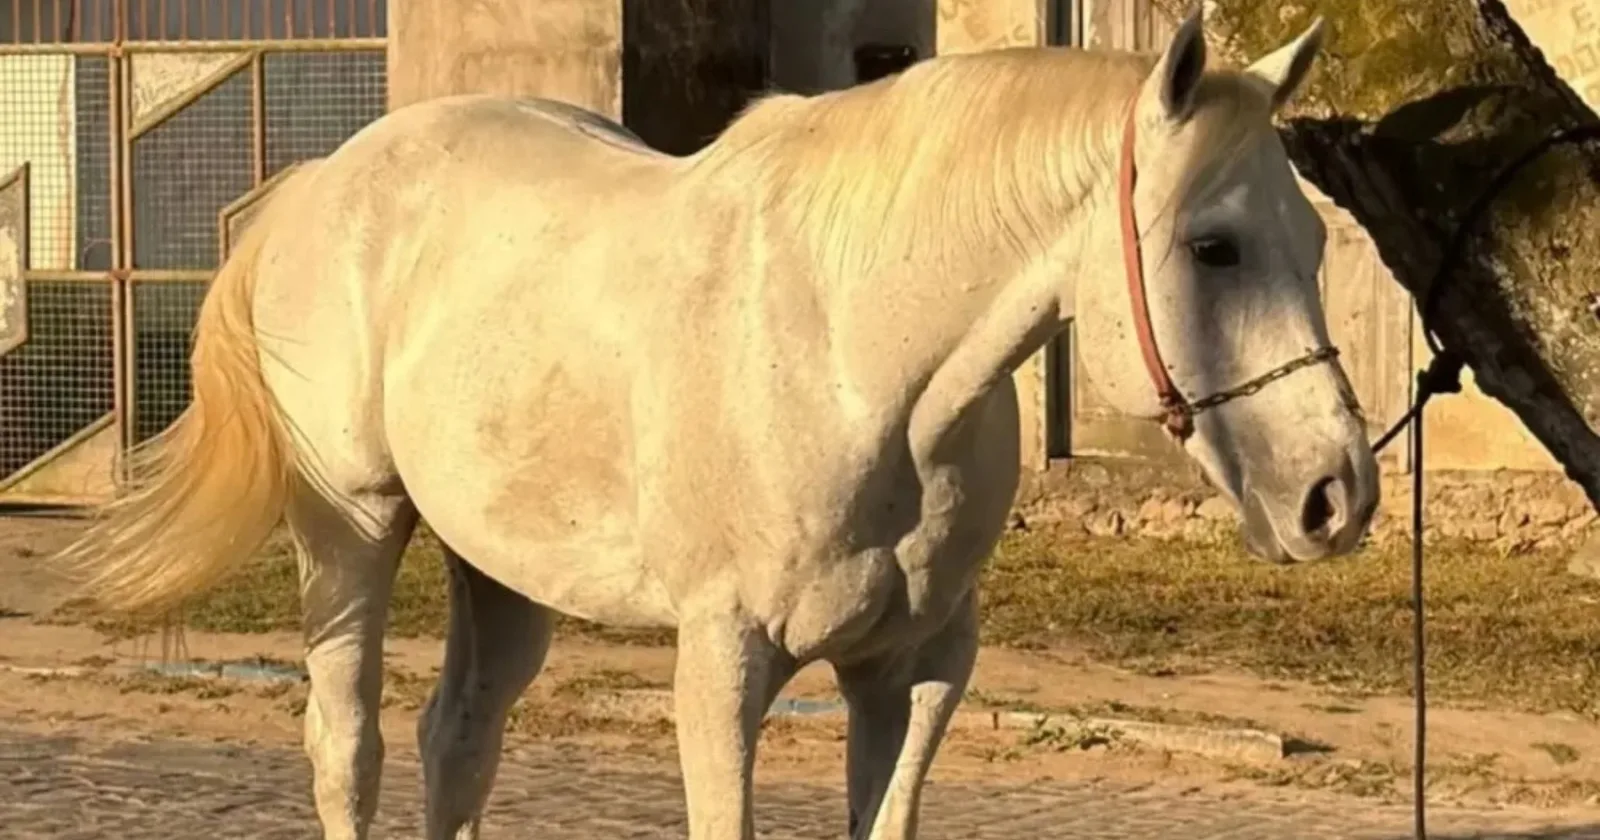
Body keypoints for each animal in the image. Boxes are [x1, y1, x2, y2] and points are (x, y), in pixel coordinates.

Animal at [61, 10, 1375, 840]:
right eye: (1212, 246)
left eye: (1313, 239)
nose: (1336, 496)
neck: (857, 357)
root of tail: (316, 187)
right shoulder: (724, 663)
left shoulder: (914, 673)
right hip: (350, 535)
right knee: (350, 753)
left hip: (504, 574)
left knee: (457, 743)